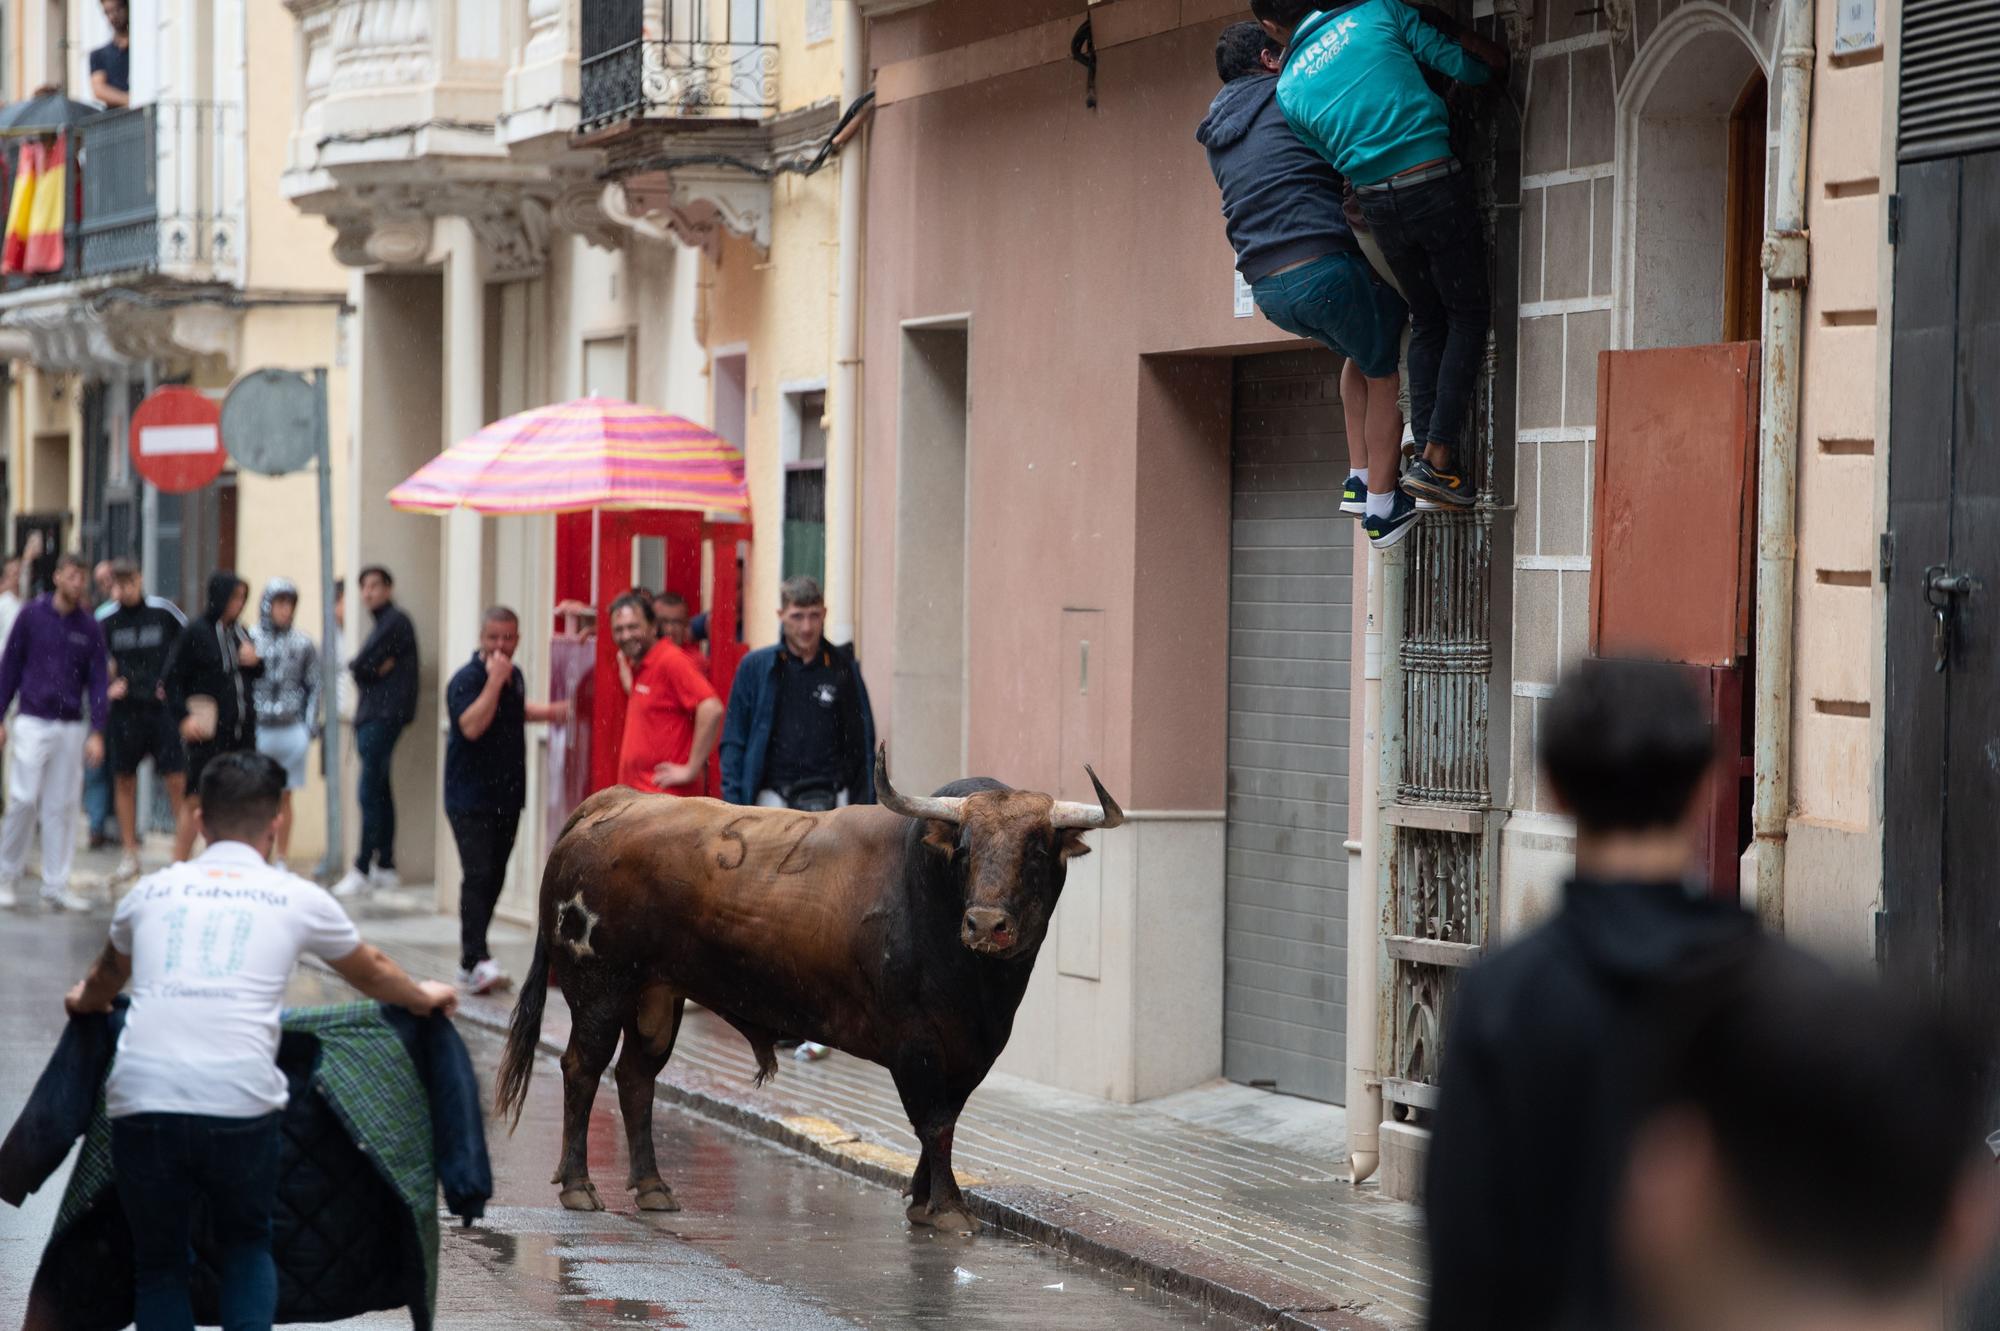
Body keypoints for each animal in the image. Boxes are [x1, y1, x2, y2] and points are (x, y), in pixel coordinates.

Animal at [496, 739, 1128, 1231]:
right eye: (966, 849)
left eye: (1038, 849)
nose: (986, 924)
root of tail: (614, 802)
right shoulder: (917, 1044)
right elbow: (933, 1123)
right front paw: (947, 1209)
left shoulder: (972, 1051)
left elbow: (943, 1124)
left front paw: (923, 1200)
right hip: (598, 989)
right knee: (583, 1069)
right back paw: (579, 1186)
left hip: (657, 995)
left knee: (635, 1078)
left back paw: (653, 1187)